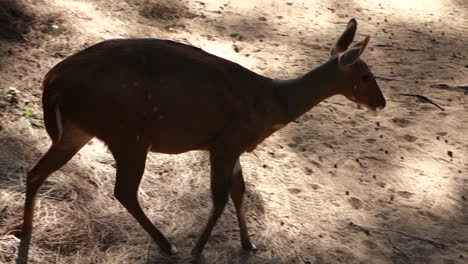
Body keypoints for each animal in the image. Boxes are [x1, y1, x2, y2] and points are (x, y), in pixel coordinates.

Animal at [16, 19, 386, 258]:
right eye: (366, 75)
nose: (381, 102)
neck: (274, 104)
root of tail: (52, 81)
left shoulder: (233, 147)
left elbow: (239, 191)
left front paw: (249, 244)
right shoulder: (225, 143)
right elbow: (220, 197)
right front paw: (197, 248)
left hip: (79, 129)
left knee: (36, 171)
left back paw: (25, 231)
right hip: (128, 134)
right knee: (124, 191)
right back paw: (169, 245)